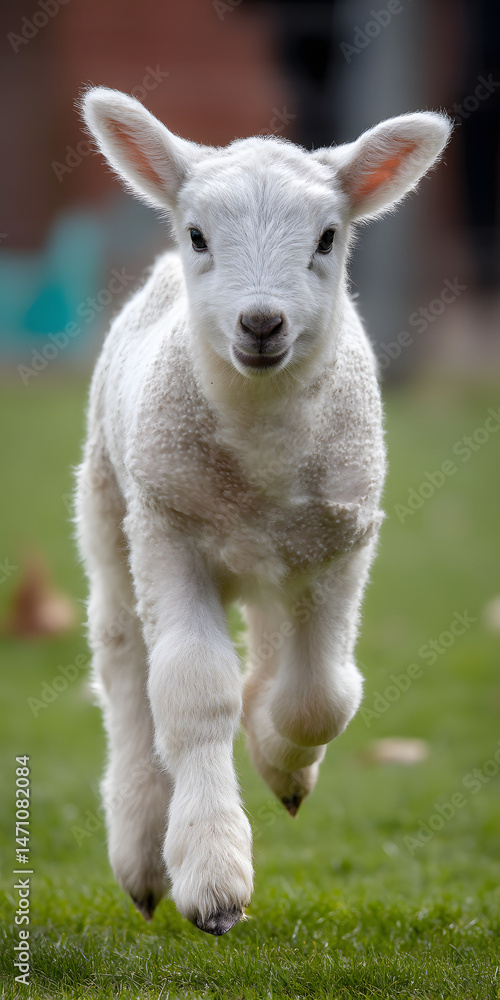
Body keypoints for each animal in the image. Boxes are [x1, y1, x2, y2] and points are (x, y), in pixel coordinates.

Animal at [76, 87, 451, 936]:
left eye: (327, 237)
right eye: (198, 235)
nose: (260, 324)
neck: (262, 453)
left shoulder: (344, 543)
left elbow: (323, 698)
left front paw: (283, 760)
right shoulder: (170, 530)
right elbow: (193, 690)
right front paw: (213, 879)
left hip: (283, 553)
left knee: (281, 648)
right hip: (113, 511)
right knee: (125, 665)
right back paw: (143, 852)